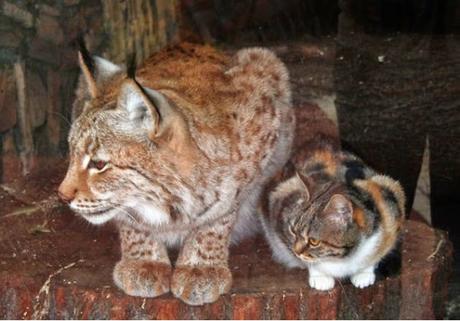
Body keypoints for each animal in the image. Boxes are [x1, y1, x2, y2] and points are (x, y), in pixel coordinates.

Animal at [260, 135, 404, 290]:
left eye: (314, 241)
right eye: (293, 231)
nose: (296, 251)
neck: (344, 258)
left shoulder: (390, 200)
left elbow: (376, 255)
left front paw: (364, 274)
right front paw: (320, 278)